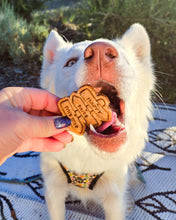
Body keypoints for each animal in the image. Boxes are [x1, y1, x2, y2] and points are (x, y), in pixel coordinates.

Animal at [40, 23, 154, 219]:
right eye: (70, 62)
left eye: (126, 60)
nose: (100, 51)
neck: (87, 156)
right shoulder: (54, 189)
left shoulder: (114, 198)